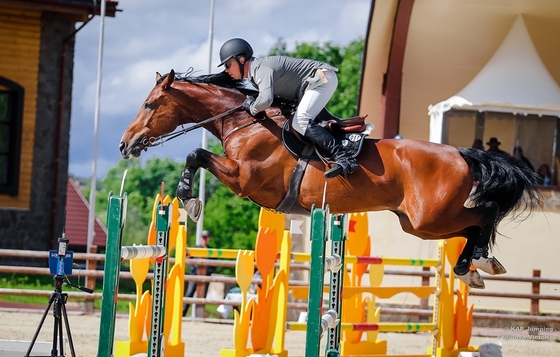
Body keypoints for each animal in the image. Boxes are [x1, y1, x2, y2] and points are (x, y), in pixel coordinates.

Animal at [119, 69, 544, 290]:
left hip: (431, 217)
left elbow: (197, 155)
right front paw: (187, 195)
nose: (125, 144)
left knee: (486, 211)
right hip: (419, 225)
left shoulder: (245, 179)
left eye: (150, 104)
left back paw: (479, 262)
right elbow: (198, 156)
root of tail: (461, 153)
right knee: (472, 224)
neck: (245, 120)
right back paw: (473, 266)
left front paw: (187, 197)